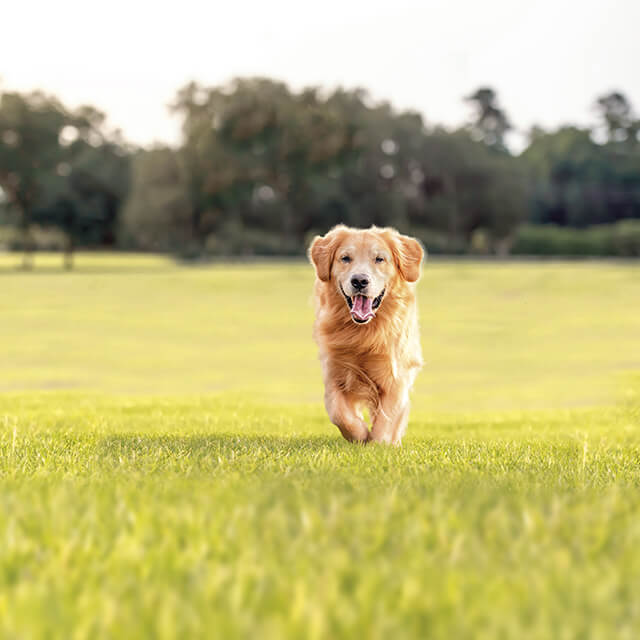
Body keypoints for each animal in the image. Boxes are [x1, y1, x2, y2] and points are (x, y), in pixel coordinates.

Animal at [308, 225, 422, 444]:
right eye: (345, 258)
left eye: (379, 259)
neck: (363, 333)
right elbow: (339, 413)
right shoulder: (334, 371)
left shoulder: (395, 376)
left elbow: (386, 421)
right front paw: (360, 434)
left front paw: (378, 444)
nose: (359, 280)